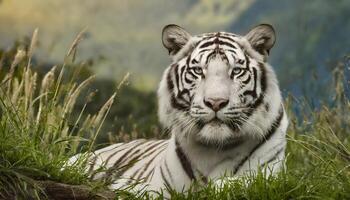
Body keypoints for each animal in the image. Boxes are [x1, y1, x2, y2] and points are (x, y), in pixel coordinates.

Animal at [70, 23, 288, 195]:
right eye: (198, 70)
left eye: (236, 71)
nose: (215, 102)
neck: (215, 148)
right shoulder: (156, 187)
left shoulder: (270, 175)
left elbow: (238, 182)